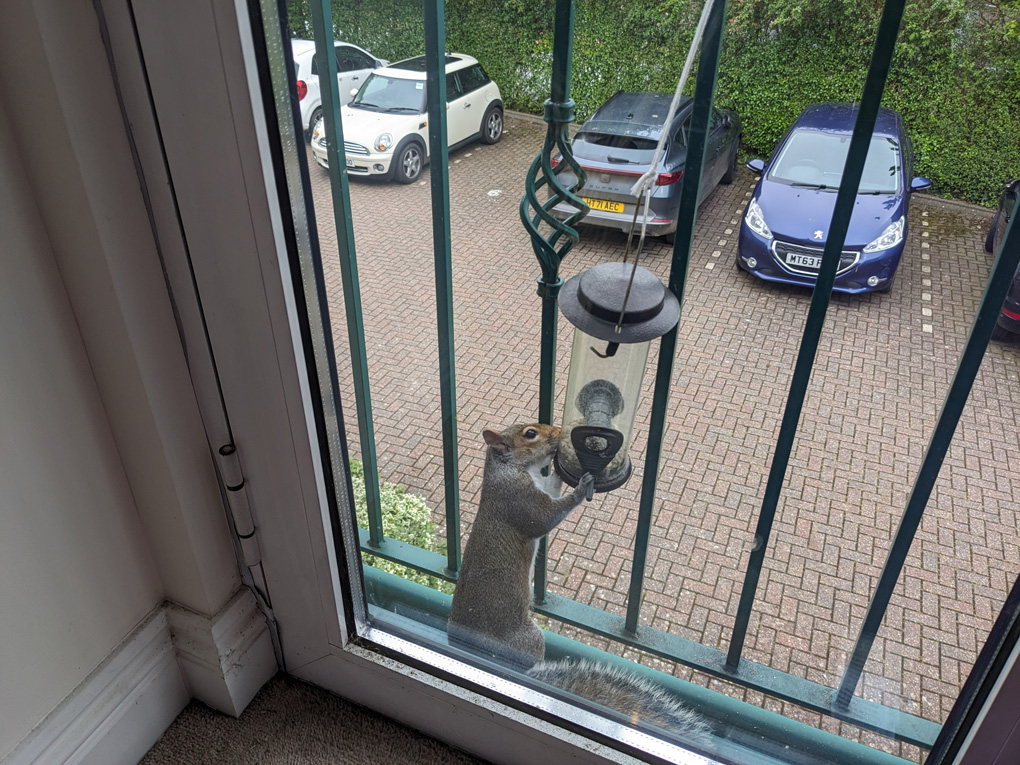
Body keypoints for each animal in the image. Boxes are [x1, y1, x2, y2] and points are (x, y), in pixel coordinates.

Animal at [446, 420, 709, 750]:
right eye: (530, 433)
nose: (559, 431)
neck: (510, 468)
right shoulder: (518, 498)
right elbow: (545, 518)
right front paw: (582, 487)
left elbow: (552, 487)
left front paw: (561, 473)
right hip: (528, 639)